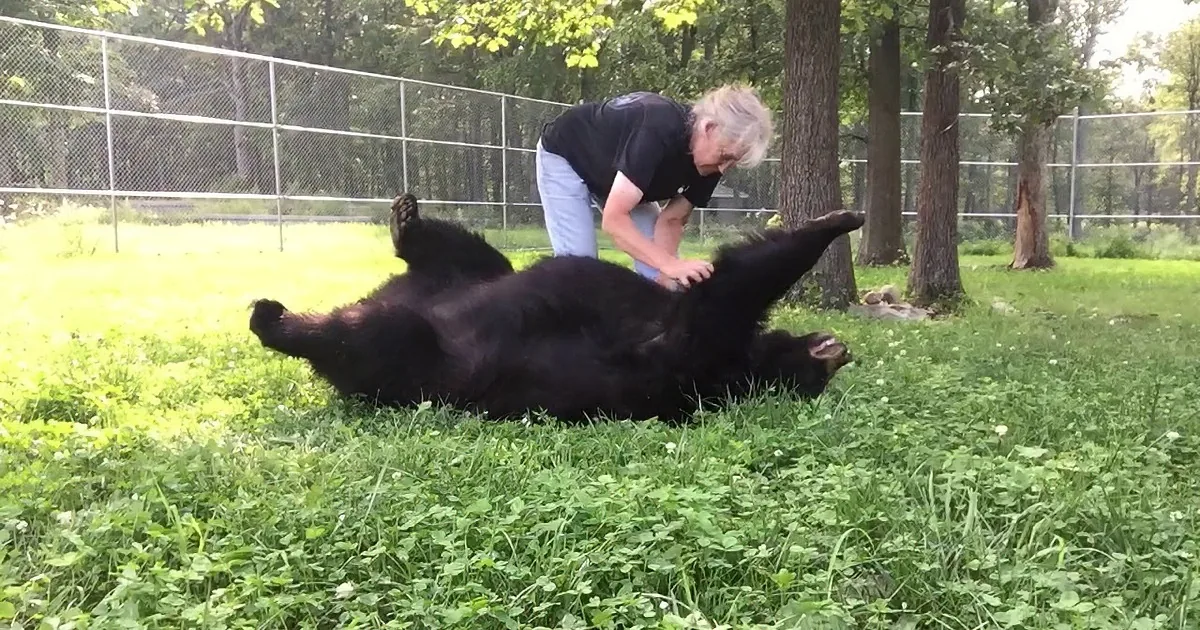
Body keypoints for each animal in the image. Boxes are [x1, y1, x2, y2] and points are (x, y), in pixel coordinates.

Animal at [248, 192, 864, 425]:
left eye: (816, 379)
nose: (841, 352)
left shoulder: (701, 353)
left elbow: (730, 289)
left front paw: (833, 221)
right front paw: (839, 219)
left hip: (424, 359)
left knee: (367, 336)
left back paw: (276, 319)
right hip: (472, 273)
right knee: (471, 254)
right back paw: (406, 223)